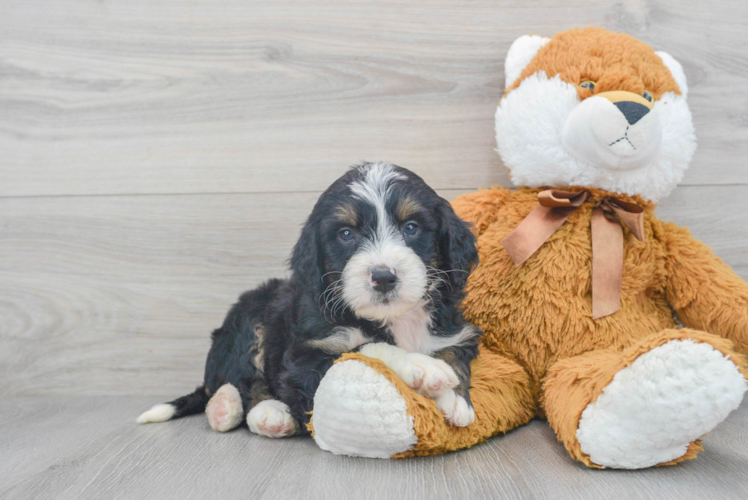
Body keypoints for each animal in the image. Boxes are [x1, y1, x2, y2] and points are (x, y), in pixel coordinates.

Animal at [137, 163, 482, 438]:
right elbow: (365, 349)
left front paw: (455, 399)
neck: (394, 319)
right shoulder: (305, 360)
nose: (383, 277)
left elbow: (454, 353)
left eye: (411, 228)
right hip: (249, 314)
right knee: (241, 377)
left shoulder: (458, 333)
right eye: (346, 234)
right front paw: (422, 367)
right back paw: (246, 409)